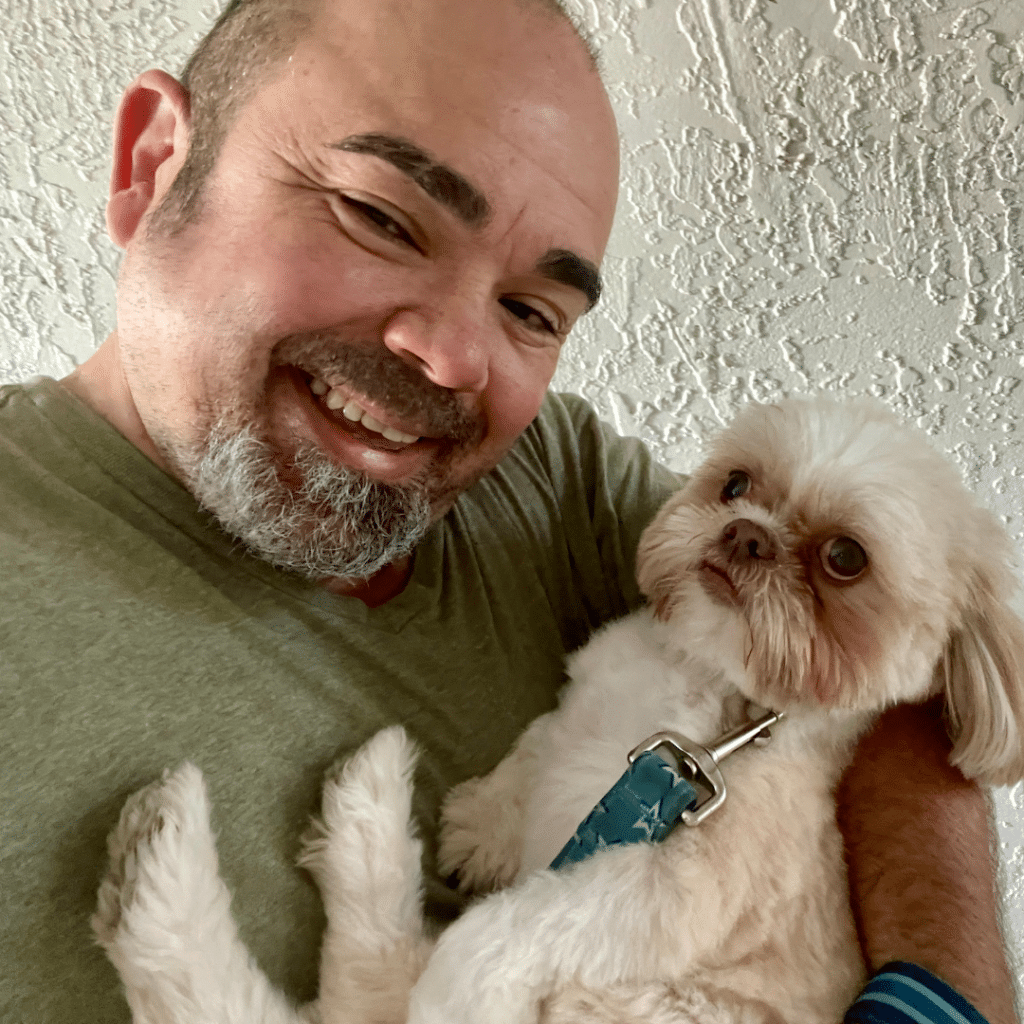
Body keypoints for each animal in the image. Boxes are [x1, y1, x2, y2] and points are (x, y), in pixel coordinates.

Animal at [92, 397, 1019, 1024]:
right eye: (736, 484)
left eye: (845, 559)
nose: (746, 534)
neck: (704, 698)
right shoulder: (583, 713)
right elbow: (532, 754)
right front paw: (480, 827)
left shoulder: (665, 897)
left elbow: (510, 928)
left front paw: (459, 971)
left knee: (365, 986)